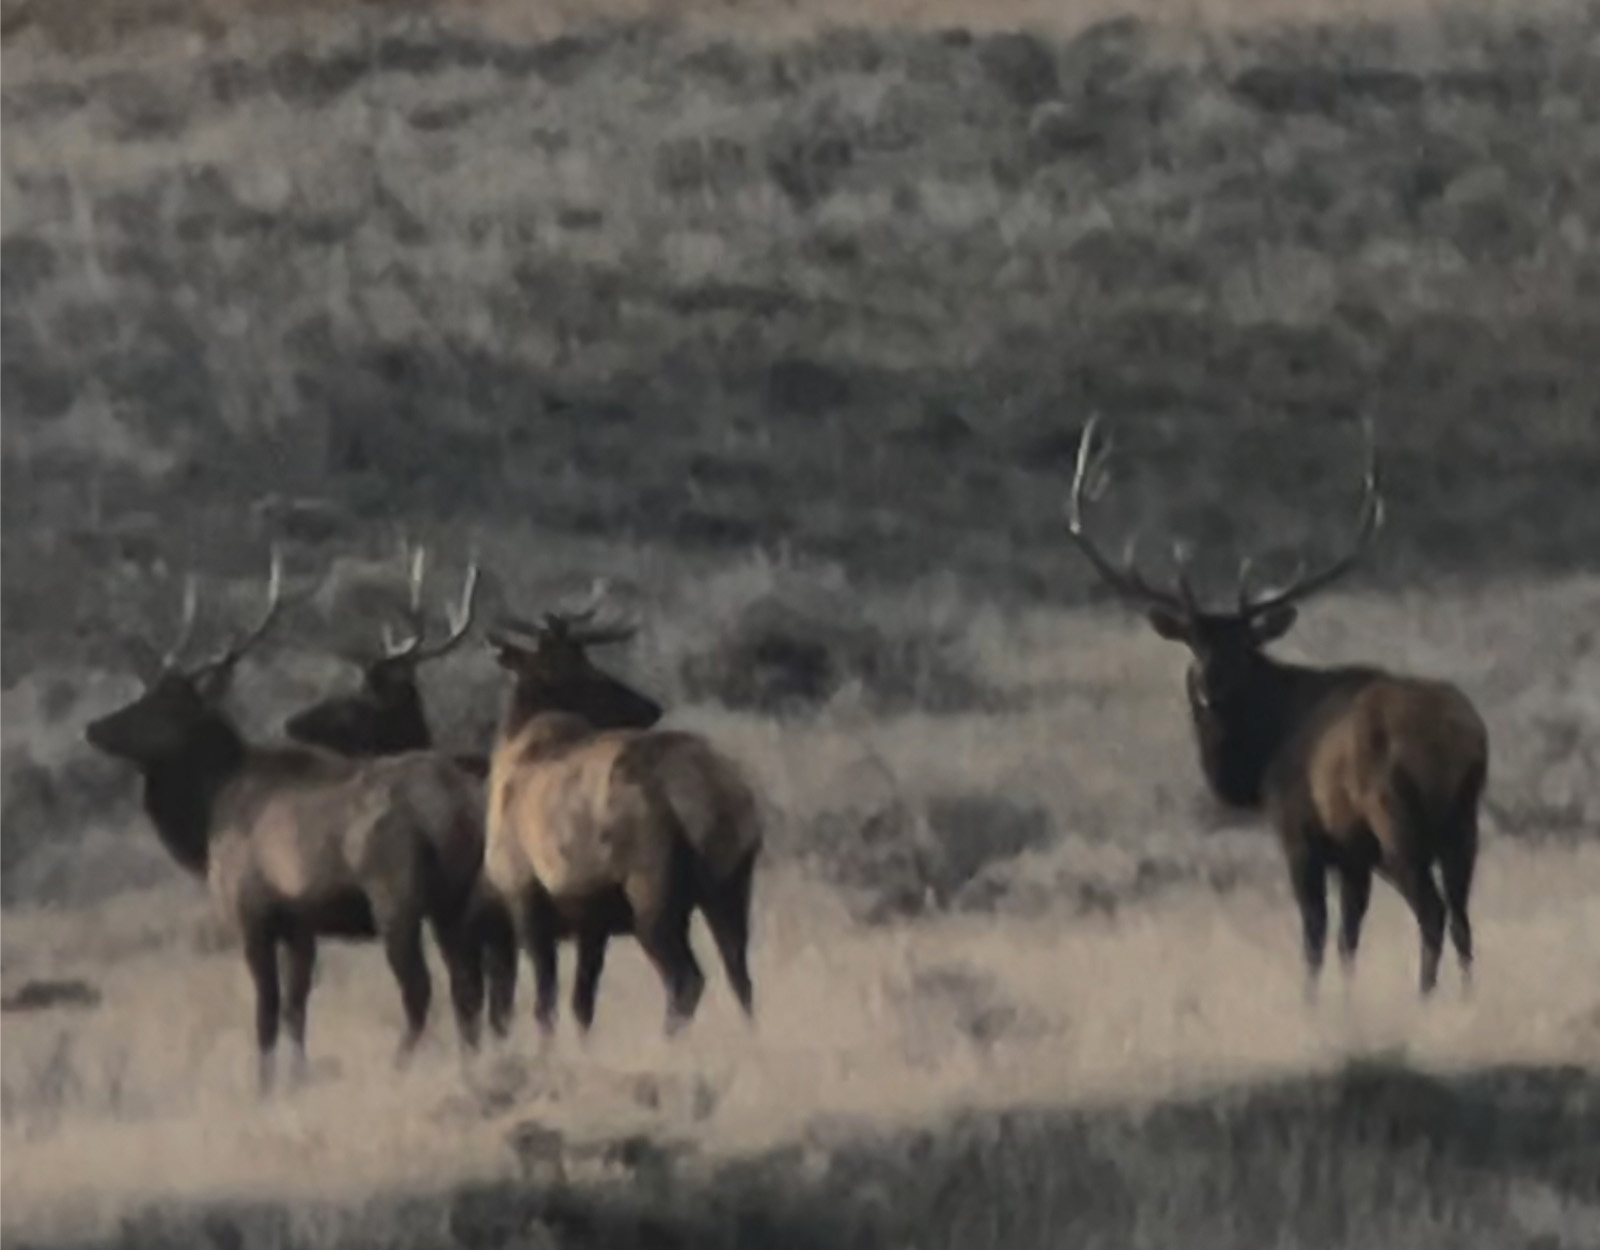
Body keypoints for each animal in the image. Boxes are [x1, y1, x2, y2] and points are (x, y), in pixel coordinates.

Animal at [82, 549, 500, 1096]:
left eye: (161, 704)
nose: (94, 727)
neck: (207, 817)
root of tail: (456, 803)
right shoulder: (301, 923)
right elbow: (297, 1008)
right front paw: (297, 1078)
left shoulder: (252, 912)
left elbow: (266, 1010)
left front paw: (263, 1087)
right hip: (455, 899)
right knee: (466, 985)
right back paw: (471, 1064)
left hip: (396, 894)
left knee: (420, 988)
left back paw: (400, 1066)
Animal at [481, 601, 763, 1041]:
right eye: (582, 668)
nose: (649, 708)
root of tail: (708, 793)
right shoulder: (591, 923)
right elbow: (582, 1005)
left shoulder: (524, 897)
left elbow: (545, 1006)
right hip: (730, 885)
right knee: (741, 977)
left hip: (651, 893)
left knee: (687, 980)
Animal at [1064, 415, 1489, 1001]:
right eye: (1193, 642)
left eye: (1246, 646)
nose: (1210, 685)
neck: (1262, 756)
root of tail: (1458, 737)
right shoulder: (1352, 855)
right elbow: (1349, 938)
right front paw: (1346, 1001)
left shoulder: (1302, 834)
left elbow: (1314, 935)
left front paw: (1311, 1005)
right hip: (1463, 822)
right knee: (1465, 917)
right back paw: (1466, 999)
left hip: (1397, 818)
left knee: (1433, 912)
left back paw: (1425, 999)